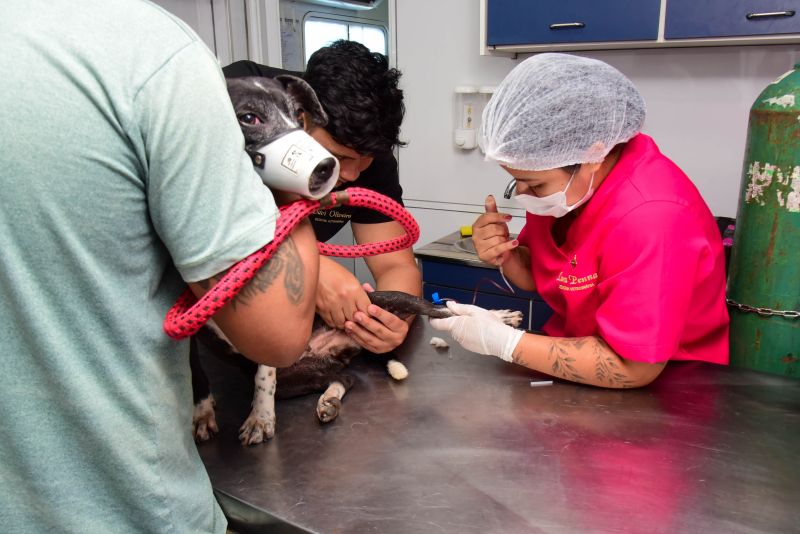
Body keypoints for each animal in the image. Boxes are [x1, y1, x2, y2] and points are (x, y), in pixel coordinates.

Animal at [190, 75, 520, 446]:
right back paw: (328, 402)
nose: (321, 168)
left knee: (445, 309)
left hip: (389, 300)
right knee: (342, 379)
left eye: (298, 114)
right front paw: (205, 414)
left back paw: (498, 318)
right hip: (297, 377)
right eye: (248, 118)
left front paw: (259, 416)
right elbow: (198, 377)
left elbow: (263, 375)